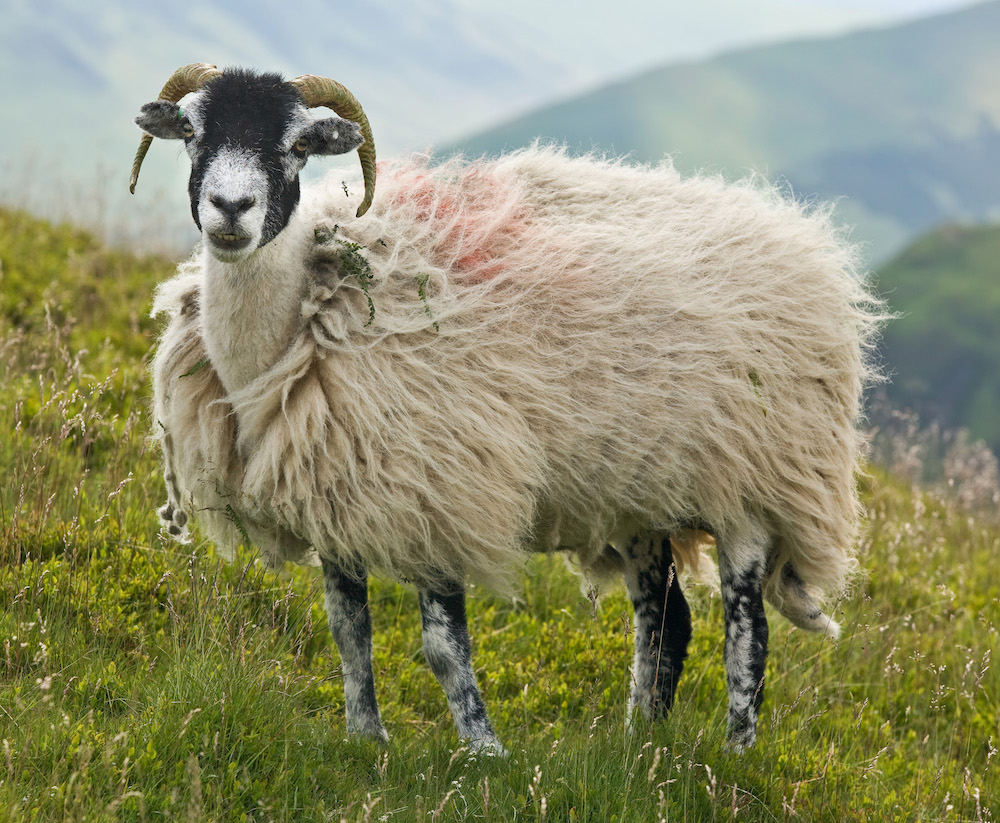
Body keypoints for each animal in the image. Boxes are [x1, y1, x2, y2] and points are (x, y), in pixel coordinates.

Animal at [131, 62, 884, 752]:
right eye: (192, 133)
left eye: (296, 145)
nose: (231, 208)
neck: (296, 325)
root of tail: (802, 242)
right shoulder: (337, 495)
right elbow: (349, 632)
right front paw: (366, 738)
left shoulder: (435, 490)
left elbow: (443, 647)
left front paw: (483, 751)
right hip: (642, 493)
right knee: (664, 619)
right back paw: (636, 748)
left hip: (755, 483)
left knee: (745, 630)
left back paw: (732, 756)